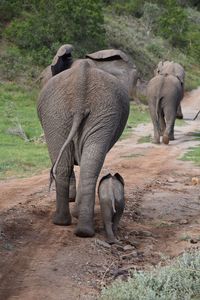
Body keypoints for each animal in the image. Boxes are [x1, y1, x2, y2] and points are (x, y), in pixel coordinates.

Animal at [36, 58, 129, 237]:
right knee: (85, 165)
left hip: (68, 113)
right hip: (67, 113)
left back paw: (68, 223)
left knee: (76, 165)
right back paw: (78, 228)